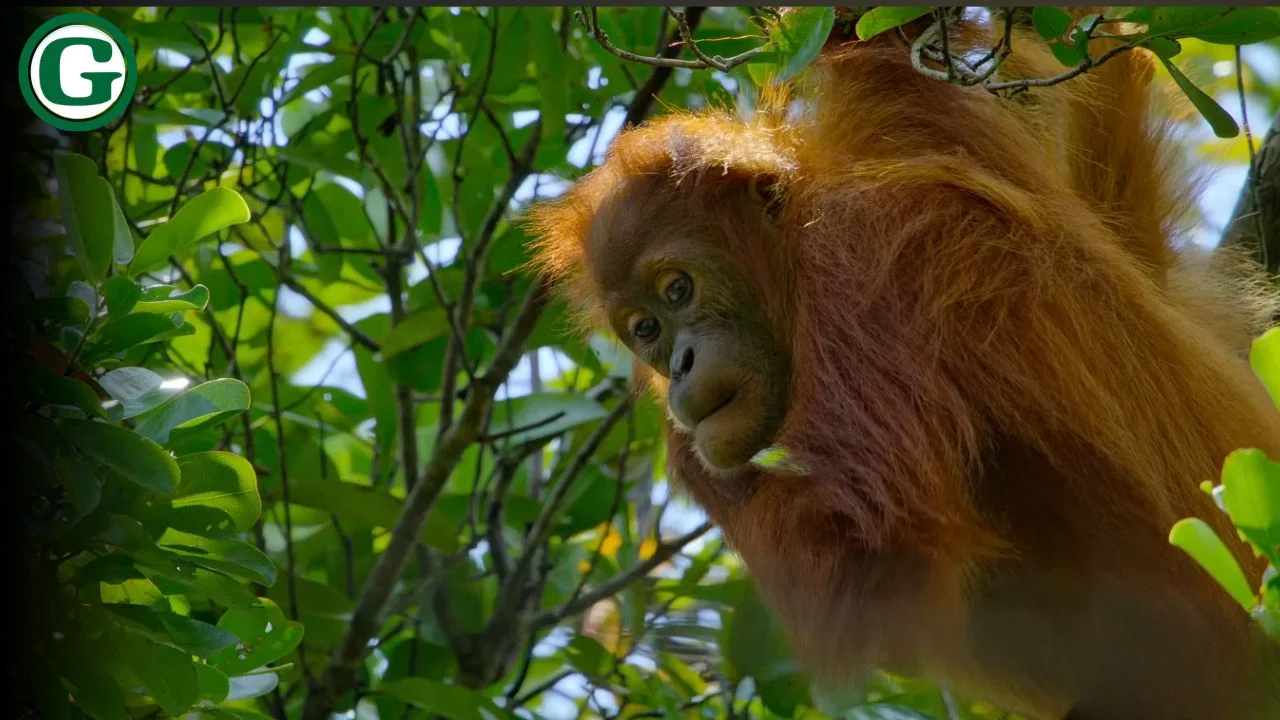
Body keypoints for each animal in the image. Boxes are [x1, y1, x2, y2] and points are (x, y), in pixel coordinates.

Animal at [528, 11, 1280, 720]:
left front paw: (685, 454)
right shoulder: (922, 127)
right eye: (646, 329)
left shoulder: (862, 275)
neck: (799, 249)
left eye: (679, 288)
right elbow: (902, 50)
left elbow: (881, 547)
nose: (679, 366)